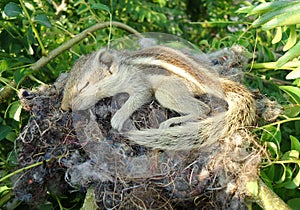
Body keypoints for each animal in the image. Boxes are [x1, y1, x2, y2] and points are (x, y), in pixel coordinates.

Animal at [61, 45, 255, 150]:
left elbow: (137, 98)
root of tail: (212, 81)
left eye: (84, 86)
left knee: (203, 108)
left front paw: (117, 118)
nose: (64, 107)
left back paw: (171, 122)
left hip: (166, 92)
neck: (123, 68)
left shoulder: (140, 85)